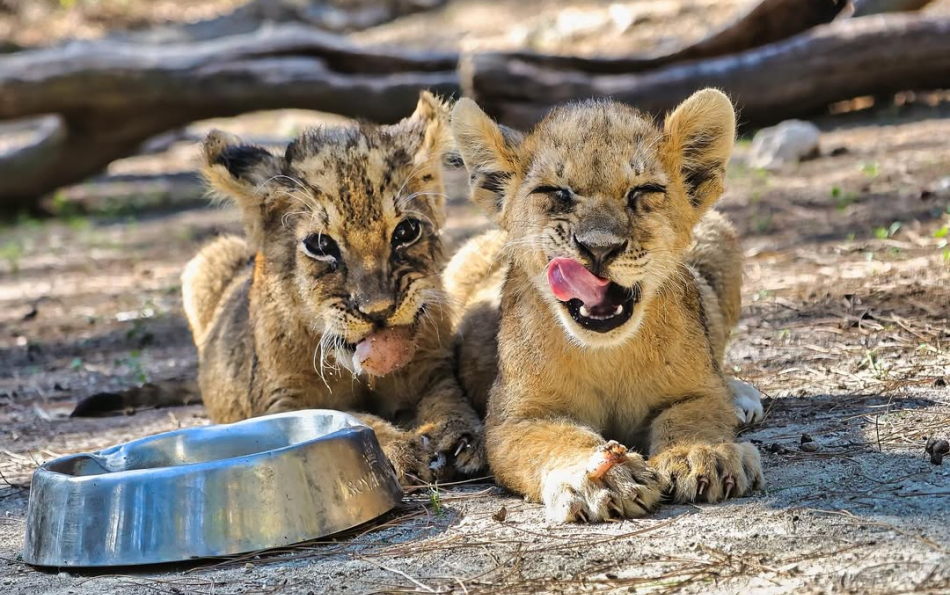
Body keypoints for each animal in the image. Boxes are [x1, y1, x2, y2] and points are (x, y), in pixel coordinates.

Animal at [177, 92, 484, 484]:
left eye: (406, 231)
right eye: (320, 245)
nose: (379, 312)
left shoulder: (432, 366)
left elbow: (447, 397)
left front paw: (459, 436)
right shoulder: (282, 401)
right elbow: (351, 419)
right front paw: (399, 449)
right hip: (207, 260)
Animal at [447, 89, 764, 522]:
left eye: (643, 191)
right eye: (557, 192)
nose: (599, 248)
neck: (607, 355)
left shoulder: (697, 391)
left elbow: (694, 416)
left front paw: (702, 455)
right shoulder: (515, 419)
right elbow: (553, 439)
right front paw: (600, 477)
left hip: (720, 237)